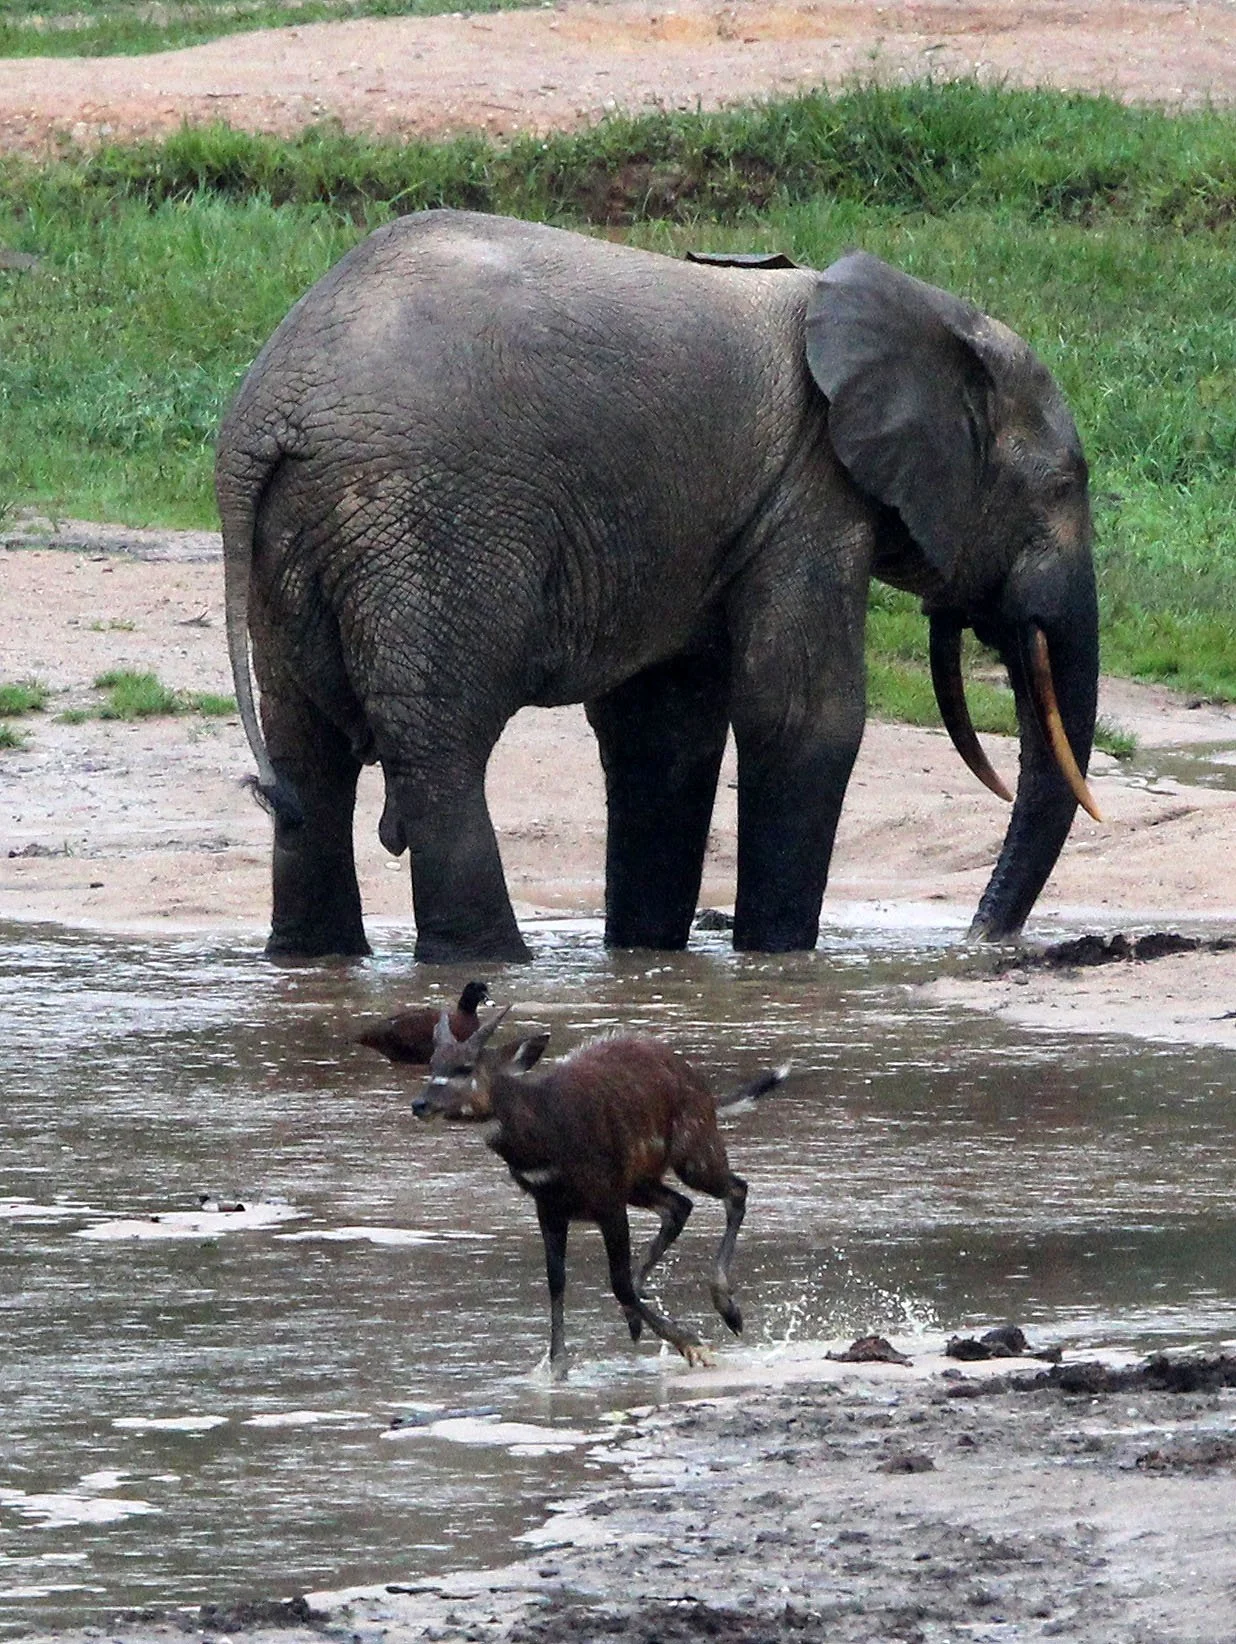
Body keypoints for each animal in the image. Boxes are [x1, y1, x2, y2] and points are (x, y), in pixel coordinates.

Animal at [216, 209, 1100, 964]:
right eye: (1065, 485)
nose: (979, 938)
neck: (929, 314)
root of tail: (274, 412)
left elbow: (663, 731)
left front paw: (645, 957)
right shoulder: (810, 495)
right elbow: (803, 714)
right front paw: (776, 962)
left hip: (299, 542)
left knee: (308, 757)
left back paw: (314, 958)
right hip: (425, 522)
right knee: (440, 755)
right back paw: (488, 961)